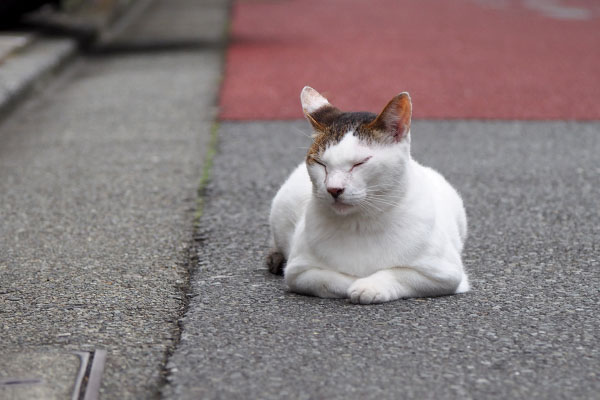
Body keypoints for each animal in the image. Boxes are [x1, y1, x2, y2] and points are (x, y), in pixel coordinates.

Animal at [268, 85, 468, 304]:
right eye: (320, 164)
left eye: (360, 163)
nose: (333, 189)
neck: (360, 223)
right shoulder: (299, 272)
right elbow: (330, 280)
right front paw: (353, 282)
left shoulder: (445, 273)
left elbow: (397, 273)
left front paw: (369, 286)